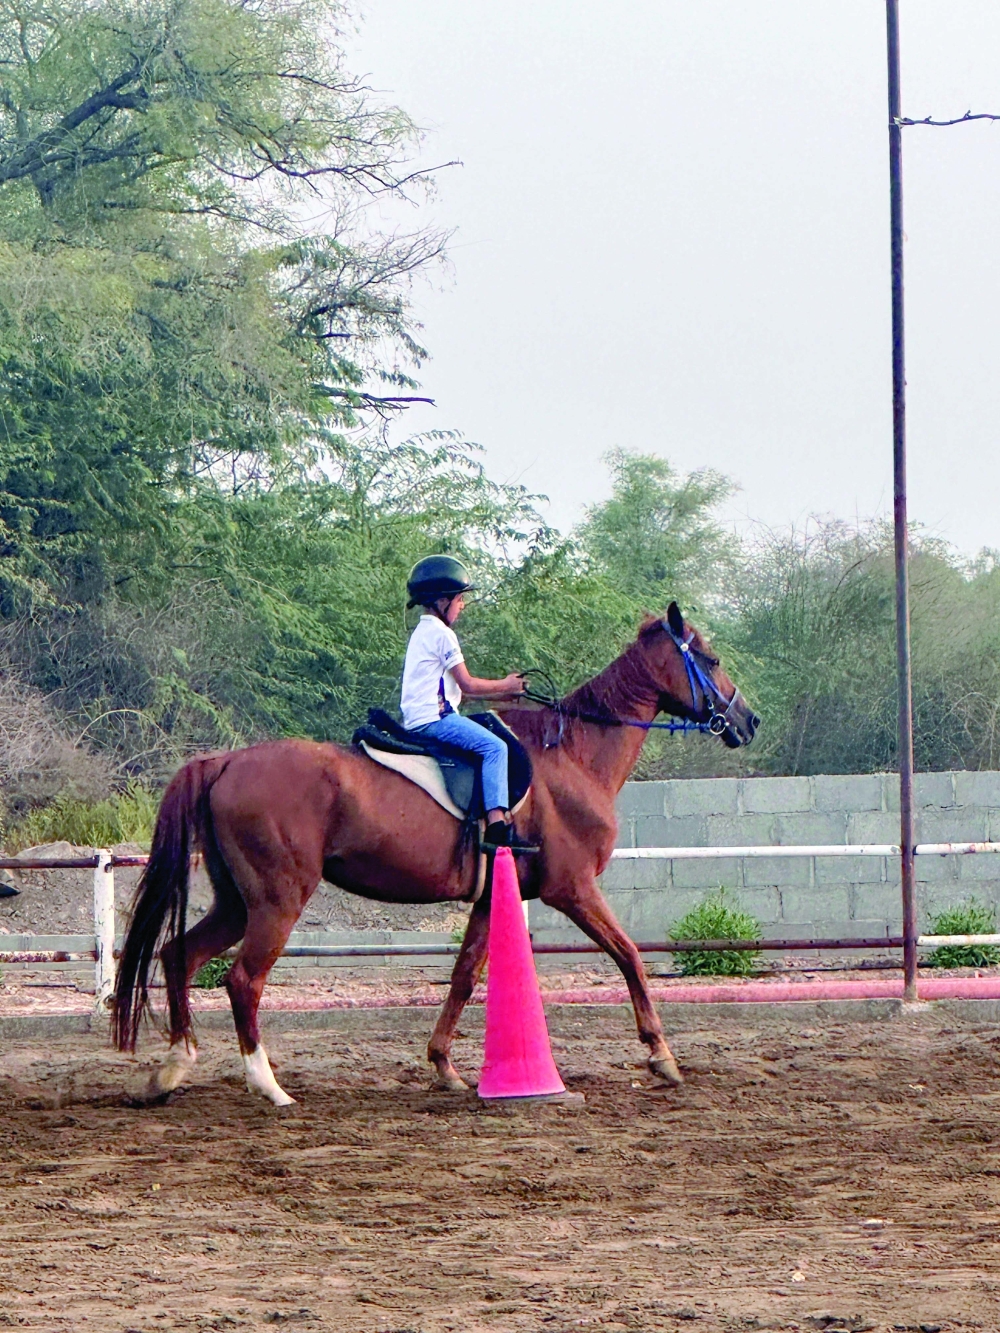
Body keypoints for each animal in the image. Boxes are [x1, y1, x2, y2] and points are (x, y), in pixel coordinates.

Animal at [113, 601, 759, 1105]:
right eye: (711, 659)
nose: (748, 721)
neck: (573, 756)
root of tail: (224, 761)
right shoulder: (572, 888)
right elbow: (629, 956)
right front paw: (661, 1055)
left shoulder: (493, 898)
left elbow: (464, 976)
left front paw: (445, 1066)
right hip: (277, 900)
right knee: (243, 980)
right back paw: (267, 1085)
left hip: (236, 902)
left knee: (178, 956)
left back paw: (173, 1068)